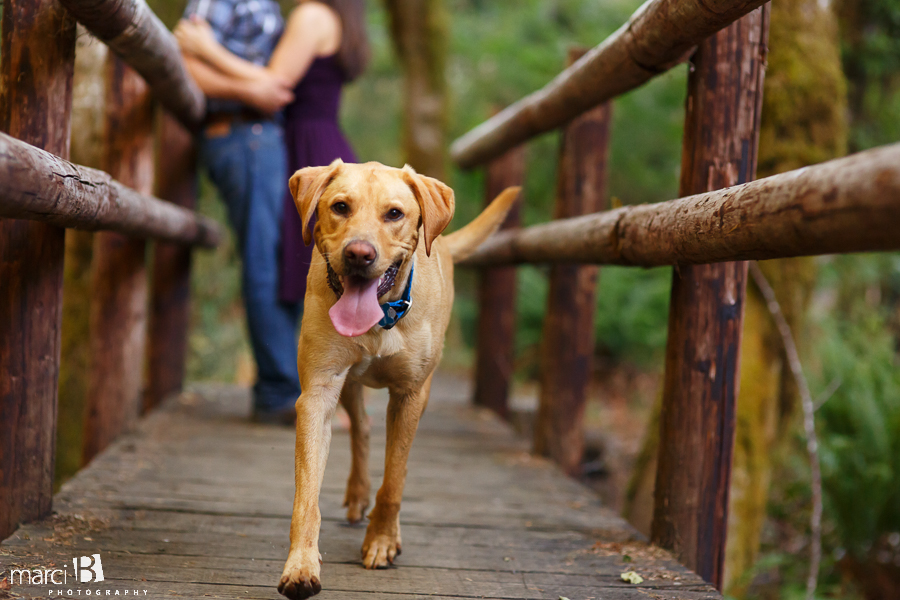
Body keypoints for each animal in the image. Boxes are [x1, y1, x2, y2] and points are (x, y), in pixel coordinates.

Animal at [276, 161, 520, 600]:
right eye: (340, 206)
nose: (359, 253)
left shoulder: (410, 395)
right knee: (361, 428)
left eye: (394, 213)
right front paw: (301, 565)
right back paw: (357, 494)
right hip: (350, 386)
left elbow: (394, 480)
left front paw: (383, 540)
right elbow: (307, 496)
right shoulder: (318, 392)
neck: (380, 319)